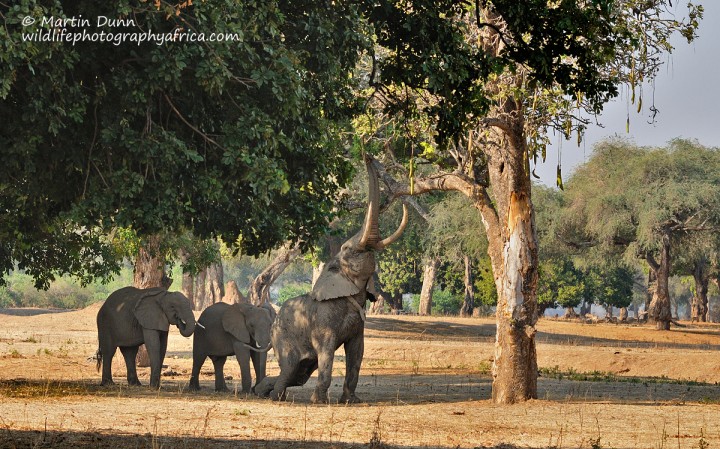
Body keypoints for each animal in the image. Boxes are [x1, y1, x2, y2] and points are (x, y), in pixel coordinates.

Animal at [258, 154, 404, 402]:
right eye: (347, 249)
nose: (367, 155)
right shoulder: (323, 320)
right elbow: (326, 351)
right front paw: (319, 402)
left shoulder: (358, 326)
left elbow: (357, 352)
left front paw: (351, 402)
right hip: (281, 336)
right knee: (289, 368)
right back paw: (276, 397)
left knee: (298, 374)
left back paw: (259, 391)